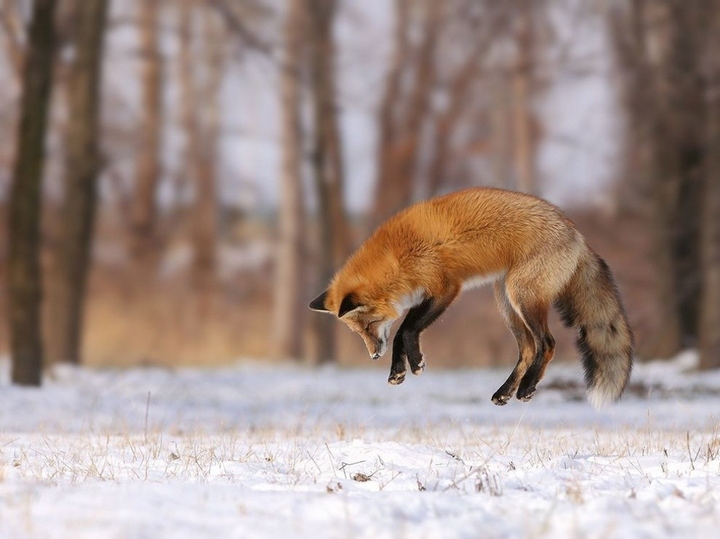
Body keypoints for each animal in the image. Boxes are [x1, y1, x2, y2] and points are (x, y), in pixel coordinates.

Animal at [306, 188, 632, 408]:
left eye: (368, 325)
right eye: (358, 332)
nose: (373, 355)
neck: (397, 257)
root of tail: (578, 234)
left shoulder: (445, 288)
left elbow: (406, 330)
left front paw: (414, 363)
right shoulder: (426, 294)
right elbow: (401, 333)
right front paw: (399, 370)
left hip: (522, 296)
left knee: (547, 344)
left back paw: (526, 388)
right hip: (506, 303)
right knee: (528, 349)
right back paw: (504, 392)